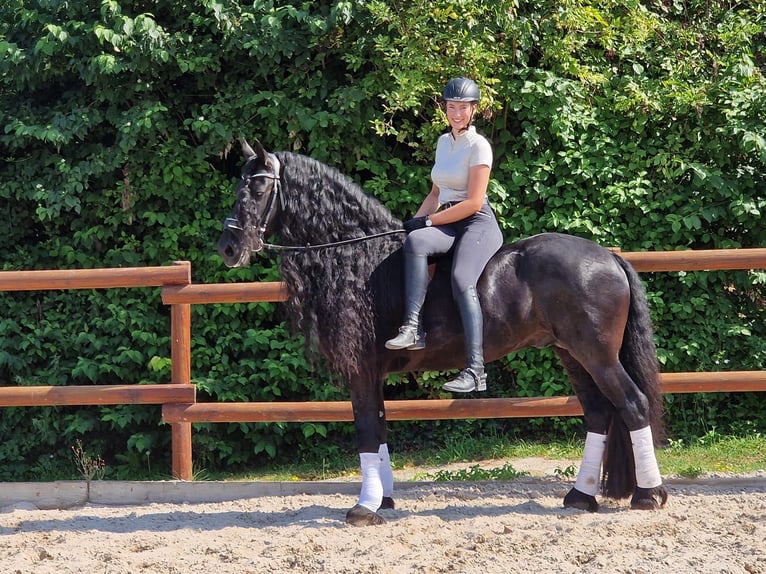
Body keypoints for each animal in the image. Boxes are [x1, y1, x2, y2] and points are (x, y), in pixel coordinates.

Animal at [219, 138, 668, 528]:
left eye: (257, 187)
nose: (228, 247)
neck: (357, 258)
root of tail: (608, 256)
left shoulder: (360, 369)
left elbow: (366, 431)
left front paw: (364, 508)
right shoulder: (373, 372)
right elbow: (380, 428)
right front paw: (383, 498)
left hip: (597, 354)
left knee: (632, 404)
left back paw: (648, 495)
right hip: (572, 353)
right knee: (599, 413)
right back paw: (581, 496)